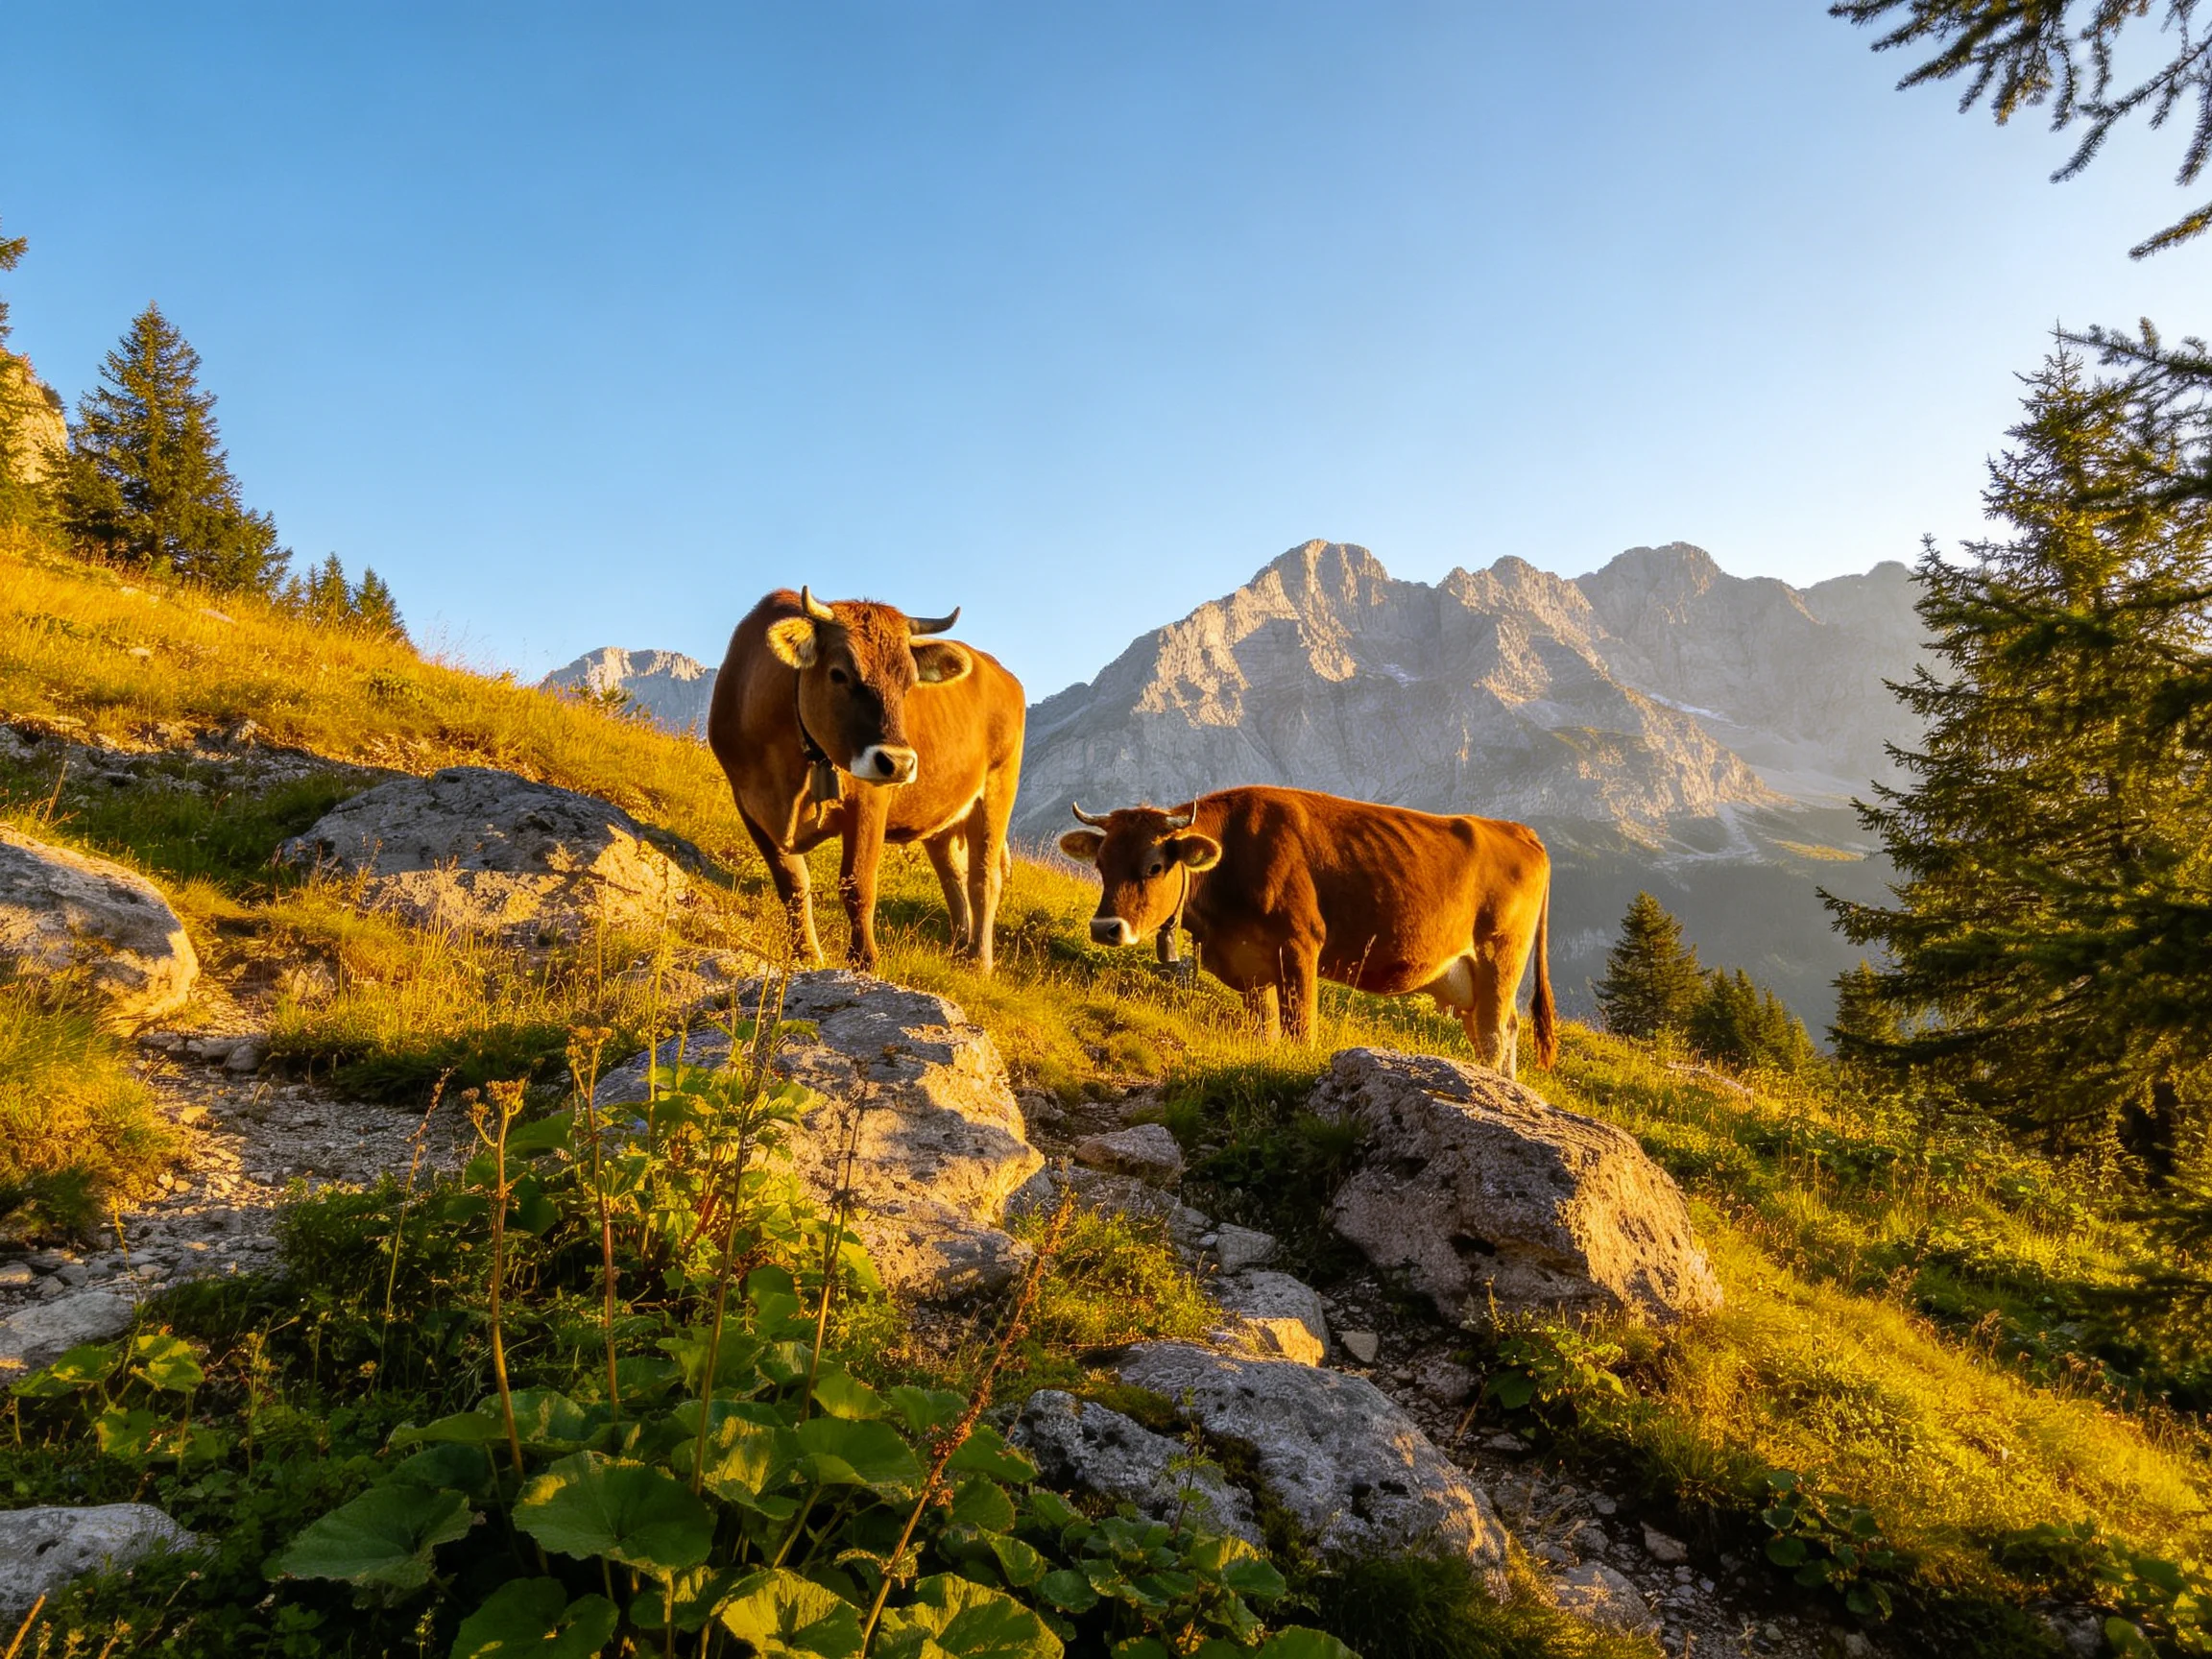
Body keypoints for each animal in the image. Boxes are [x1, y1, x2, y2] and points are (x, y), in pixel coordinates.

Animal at [707, 588, 1024, 974]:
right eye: (839, 674)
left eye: (908, 683)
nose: (899, 762)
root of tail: (1000, 671)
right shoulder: (749, 804)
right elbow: (792, 882)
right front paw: (804, 954)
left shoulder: (869, 801)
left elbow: (857, 883)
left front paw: (864, 961)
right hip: (943, 817)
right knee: (954, 876)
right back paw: (958, 950)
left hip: (998, 790)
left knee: (984, 877)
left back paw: (979, 961)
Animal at [1057, 786, 1556, 1077]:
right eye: (1100, 864)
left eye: (1155, 866)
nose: (1105, 928)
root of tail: (1518, 830)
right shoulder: (1252, 966)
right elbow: (1266, 1030)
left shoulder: (1299, 947)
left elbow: (1301, 1029)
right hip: (1470, 981)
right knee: (1503, 1031)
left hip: (1499, 958)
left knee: (1495, 1035)